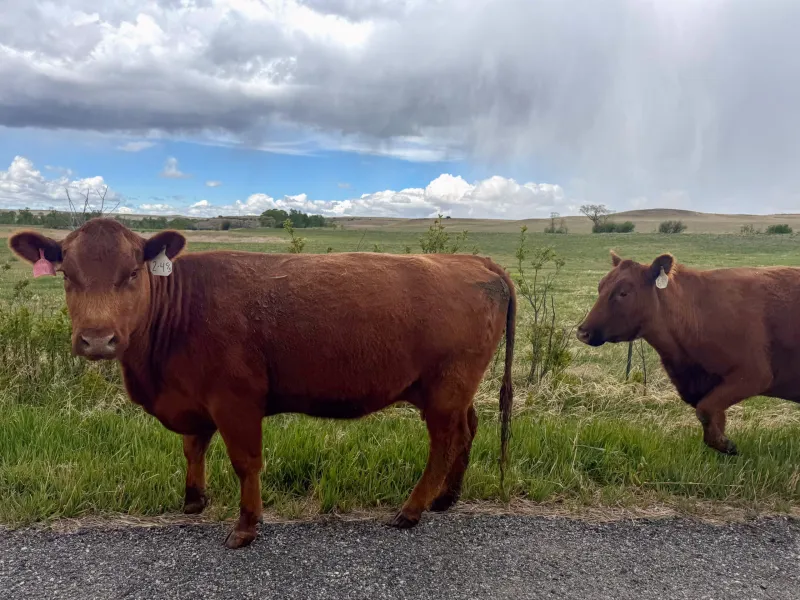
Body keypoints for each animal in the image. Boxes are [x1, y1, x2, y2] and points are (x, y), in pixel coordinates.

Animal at [9, 218, 516, 549]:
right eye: (67, 276)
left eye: (132, 273)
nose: (97, 339)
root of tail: (474, 261)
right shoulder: (195, 397)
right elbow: (193, 447)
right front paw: (194, 500)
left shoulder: (235, 401)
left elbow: (245, 462)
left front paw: (246, 526)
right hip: (456, 390)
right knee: (469, 429)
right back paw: (446, 498)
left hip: (446, 388)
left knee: (445, 441)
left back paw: (411, 510)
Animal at [576, 250, 800, 456]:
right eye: (600, 287)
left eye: (623, 293)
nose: (582, 332)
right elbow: (713, 419)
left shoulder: (754, 375)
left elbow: (705, 411)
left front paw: (727, 445)